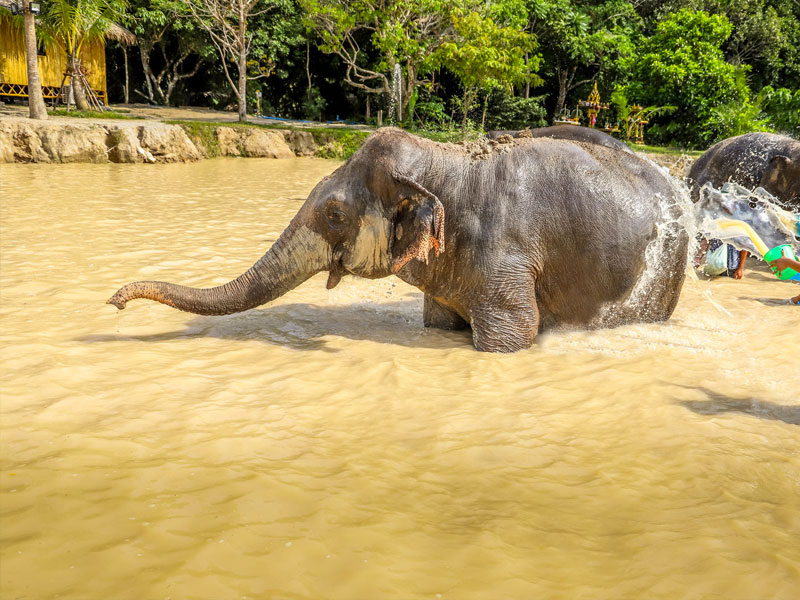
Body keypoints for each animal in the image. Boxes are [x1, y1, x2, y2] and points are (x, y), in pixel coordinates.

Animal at [109, 126, 692, 352]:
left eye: (335, 214)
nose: (114, 300)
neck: (447, 159)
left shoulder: (507, 263)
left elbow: (513, 336)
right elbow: (438, 323)